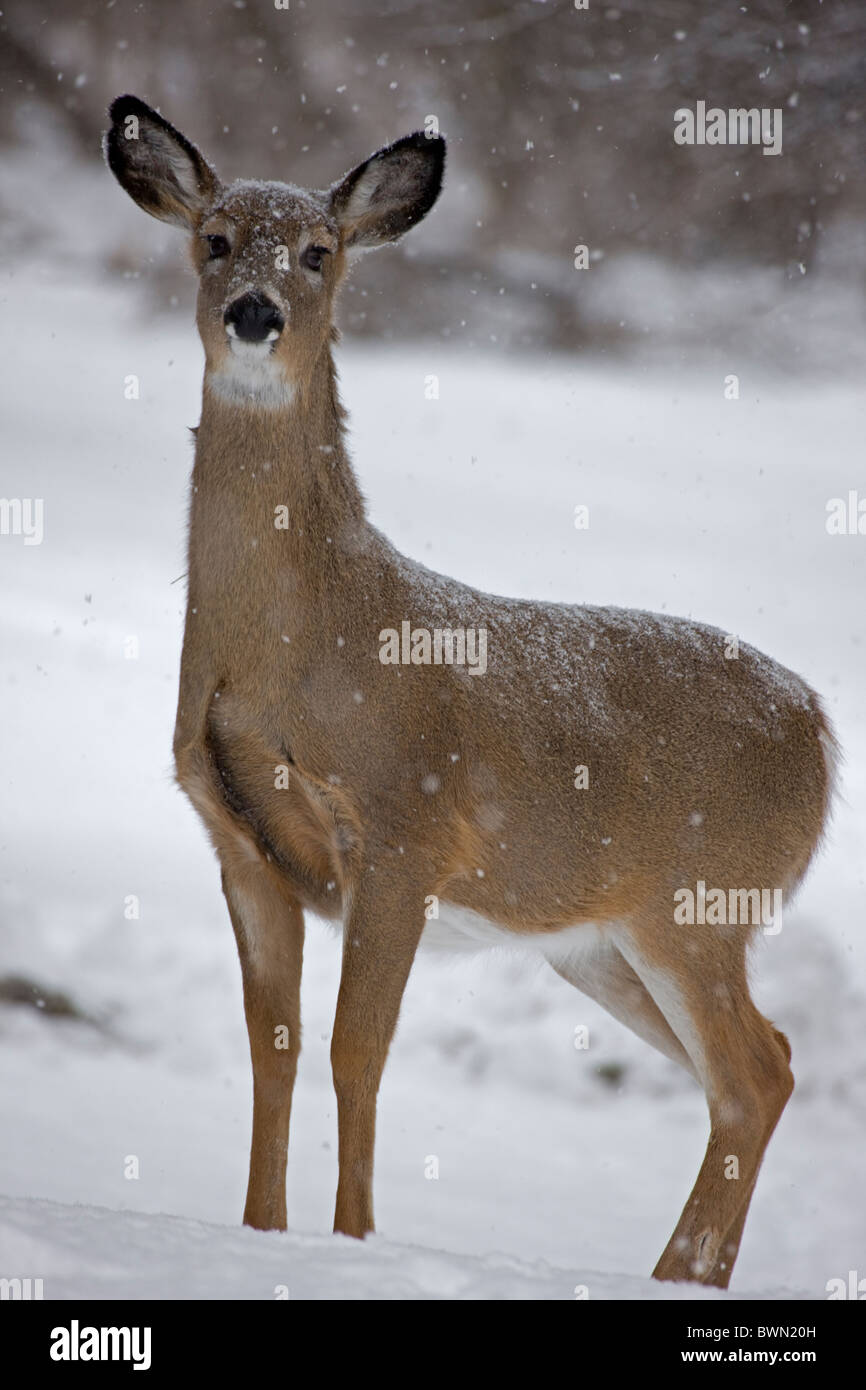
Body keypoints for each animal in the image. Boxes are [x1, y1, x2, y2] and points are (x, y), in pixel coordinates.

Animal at [104, 95, 839, 1289]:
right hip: (602, 942)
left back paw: (668, 1273)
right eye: (213, 239)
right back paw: (681, 1273)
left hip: (700, 902)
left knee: (755, 1067)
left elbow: (358, 1049)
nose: (256, 313)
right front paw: (257, 1233)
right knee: (754, 1074)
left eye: (319, 251)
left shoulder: (403, 827)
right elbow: (274, 1049)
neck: (297, 648)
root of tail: (819, 732)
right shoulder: (240, 843)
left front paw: (354, 1240)